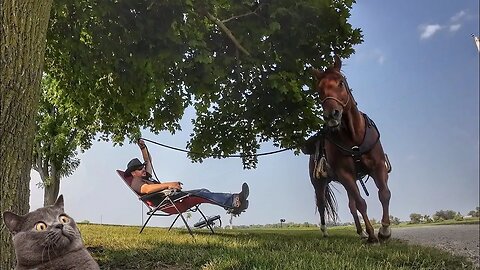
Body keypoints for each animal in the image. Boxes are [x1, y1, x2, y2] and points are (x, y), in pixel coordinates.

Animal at [310, 56, 392, 244]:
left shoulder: (378, 166)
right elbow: (362, 203)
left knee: (351, 205)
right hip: (320, 183)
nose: (331, 115)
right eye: (319, 89)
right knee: (322, 204)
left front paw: (384, 231)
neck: (354, 136)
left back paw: (360, 233)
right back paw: (325, 231)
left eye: (341, 82)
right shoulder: (345, 174)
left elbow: (384, 193)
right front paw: (372, 235)